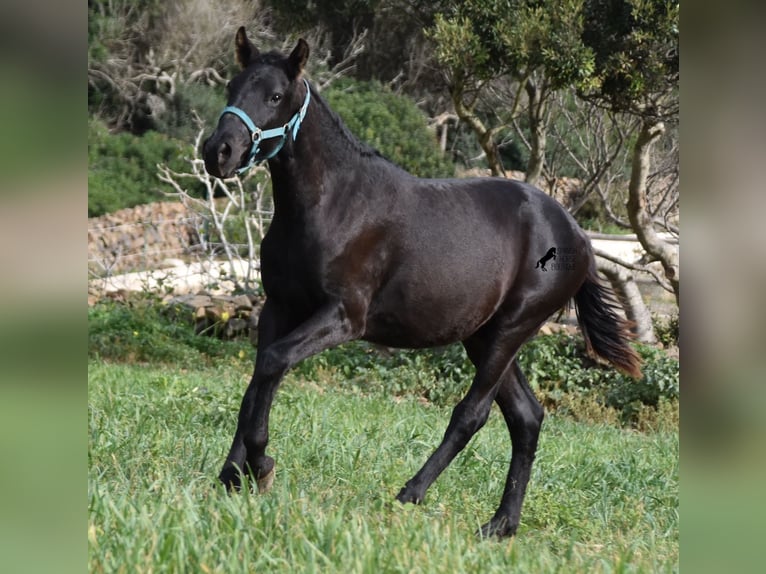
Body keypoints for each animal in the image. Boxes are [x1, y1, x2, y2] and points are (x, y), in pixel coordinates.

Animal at [200, 27, 640, 540]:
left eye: (274, 95)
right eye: (232, 87)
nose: (218, 152)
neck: (334, 202)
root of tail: (578, 235)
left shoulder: (343, 317)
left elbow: (272, 363)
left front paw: (261, 465)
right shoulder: (279, 307)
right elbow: (257, 379)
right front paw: (233, 473)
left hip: (512, 329)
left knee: (473, 414)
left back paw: (411, 494)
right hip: (483, 336)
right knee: (527, 418)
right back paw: (501, 525)